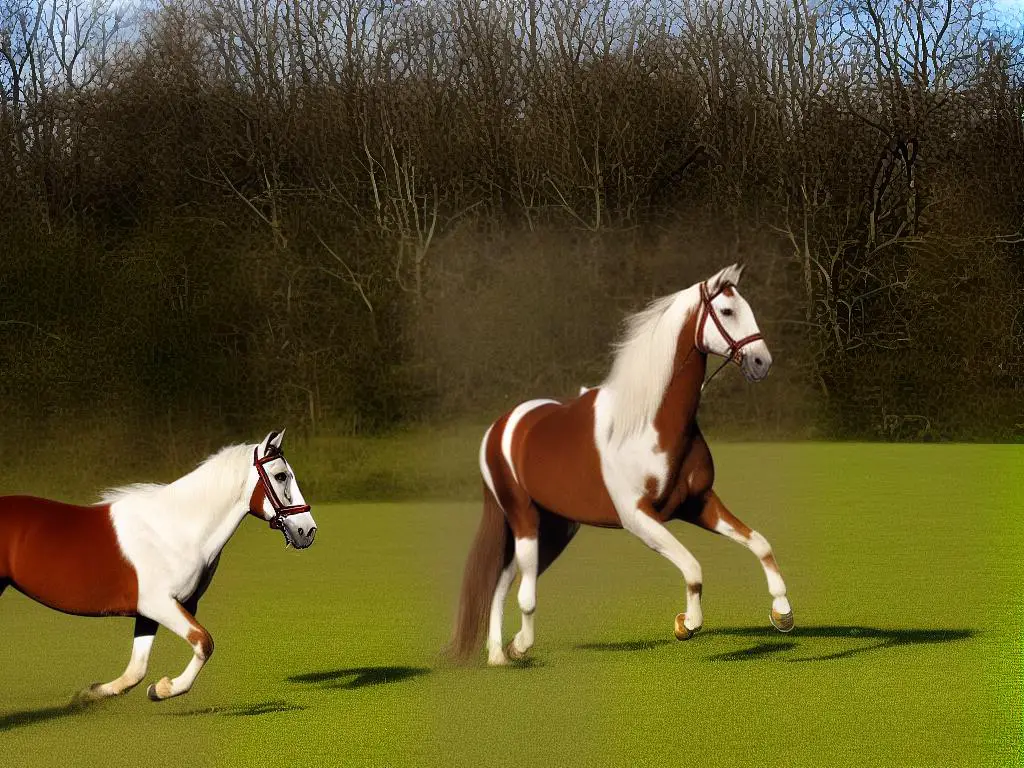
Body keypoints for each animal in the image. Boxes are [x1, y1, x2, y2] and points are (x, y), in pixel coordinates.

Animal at [0, 434, 315, 704]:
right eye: (280, 475)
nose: (307, 531)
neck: (175, 528)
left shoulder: (153, 611)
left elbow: (135, 671)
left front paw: (91, 693)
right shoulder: (159, 604)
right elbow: (204, 642)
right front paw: (164, 688)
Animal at [448, 266, 790, 667]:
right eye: (726, 311)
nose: (761, 362)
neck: (650, 422)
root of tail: (501, 426)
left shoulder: (699, 503)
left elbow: (760, 543)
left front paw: (783, 613)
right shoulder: (638, 518)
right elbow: (693, 568)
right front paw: (686, 624)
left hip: (557, 528)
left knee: (502, 582)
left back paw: (501, 654)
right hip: (524, 520)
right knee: (524, 592)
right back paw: (517, 648)